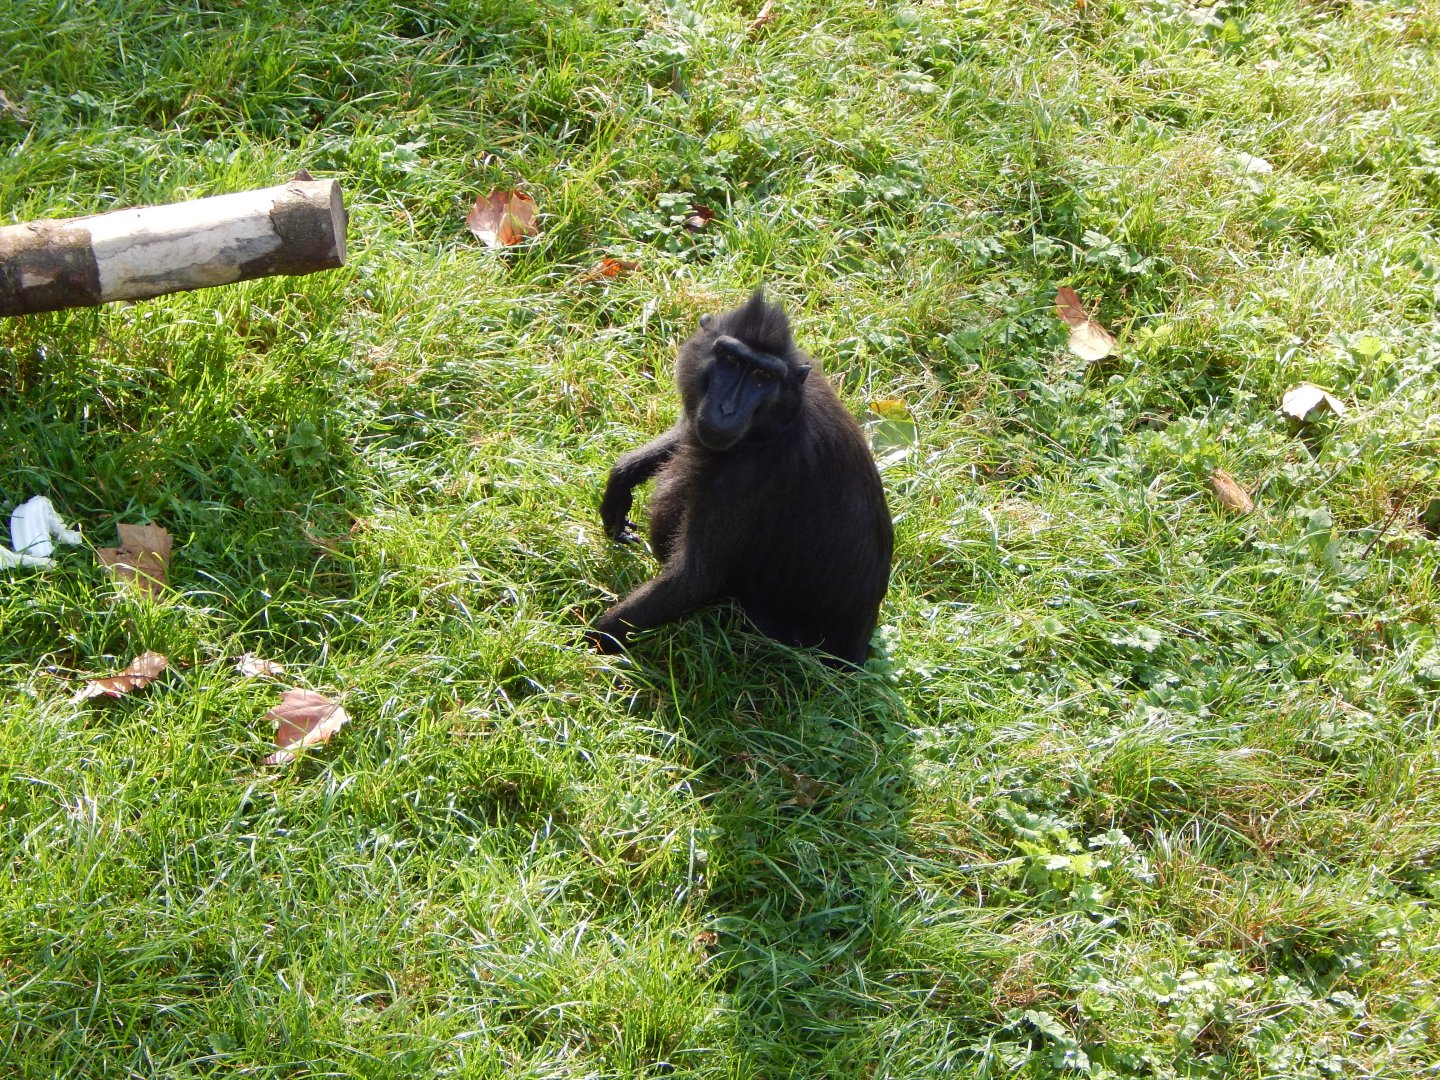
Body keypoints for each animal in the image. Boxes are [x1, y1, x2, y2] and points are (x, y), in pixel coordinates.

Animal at [591, 290, 892, 667]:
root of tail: (855, 653)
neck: (779, 424)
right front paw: (622, 477)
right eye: (730, 360)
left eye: (762, 375)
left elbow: (694, 579)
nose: (726, 409)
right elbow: (690, 435)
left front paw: (580, 645)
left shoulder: (745, 482)